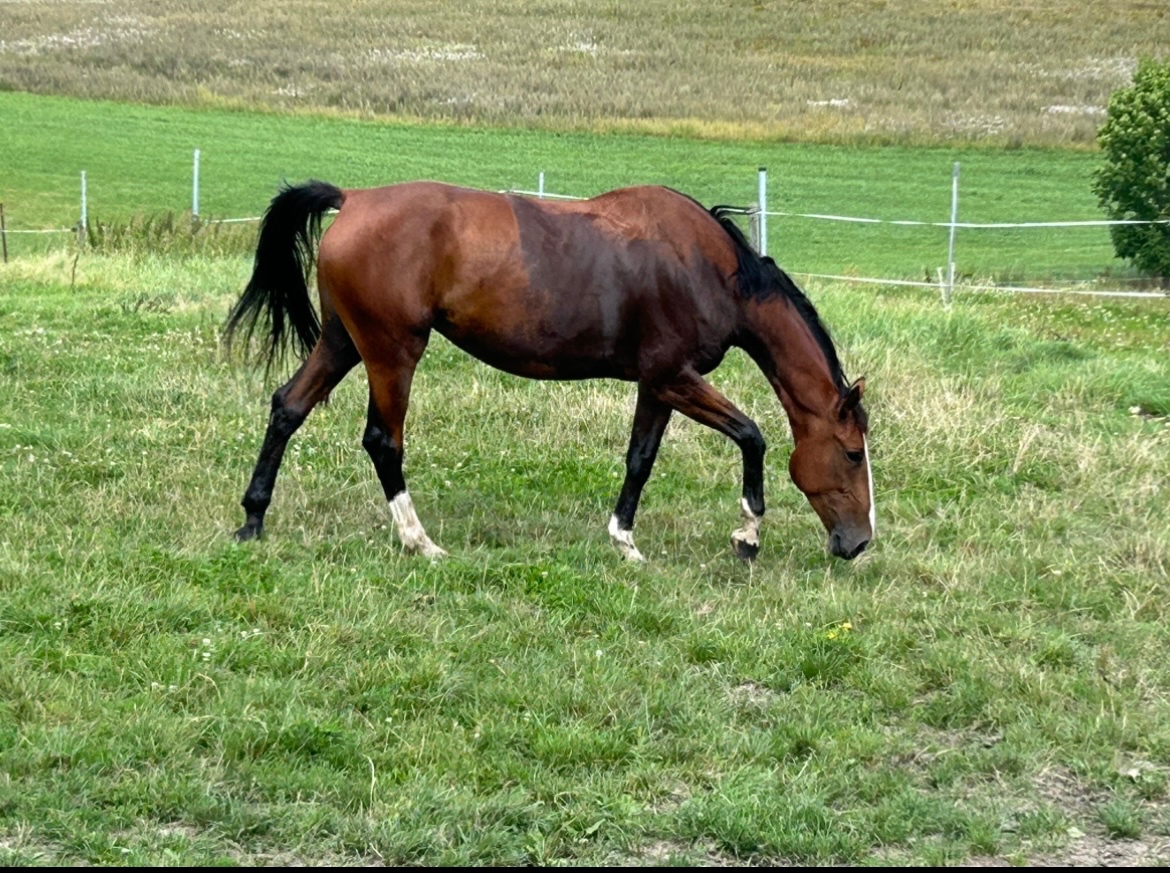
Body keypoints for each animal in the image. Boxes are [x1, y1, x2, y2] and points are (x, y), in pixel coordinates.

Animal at [223, 180, 875, 561]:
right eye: (851, 454)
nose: (859, 543)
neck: (710, 270)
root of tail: (355, 197)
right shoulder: (675, 377)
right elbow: (752, 436)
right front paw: (747, 535)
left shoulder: (657, 385)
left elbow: (640, 459)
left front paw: (624, 541)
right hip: (391, 351)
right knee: (383, 440)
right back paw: (419, 540)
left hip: (342, 342)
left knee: (287, 407)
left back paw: (253, 519)